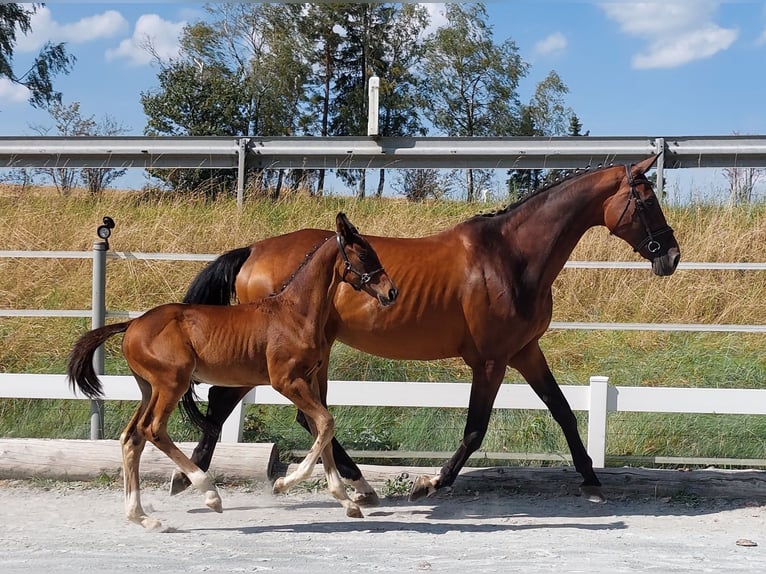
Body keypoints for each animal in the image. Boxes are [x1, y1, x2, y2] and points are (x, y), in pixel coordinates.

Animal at [68, 214, 400, 532]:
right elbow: (325, 423)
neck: (295, 313)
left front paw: (347, 502)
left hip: (149, 388)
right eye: (364, 254)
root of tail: (132, 324)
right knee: (153, 430)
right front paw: (283, 484)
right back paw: (209, 493)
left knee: (131, 437)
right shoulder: (287, 381)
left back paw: (143, 517)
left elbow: (323, 429)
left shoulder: (310, 382)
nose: (391, 291)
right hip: (172, 383)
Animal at [177, 154, 680, 508]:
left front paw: (591, 480)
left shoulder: (525, 351)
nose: (671, 256)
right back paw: (196, 477)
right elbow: (475, 429)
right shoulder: (492, 360)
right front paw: (431, 482)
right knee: (242, 405)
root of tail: (253, 250)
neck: (511, 257)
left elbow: (563, 412)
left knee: (286, 412)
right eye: (647, 199)